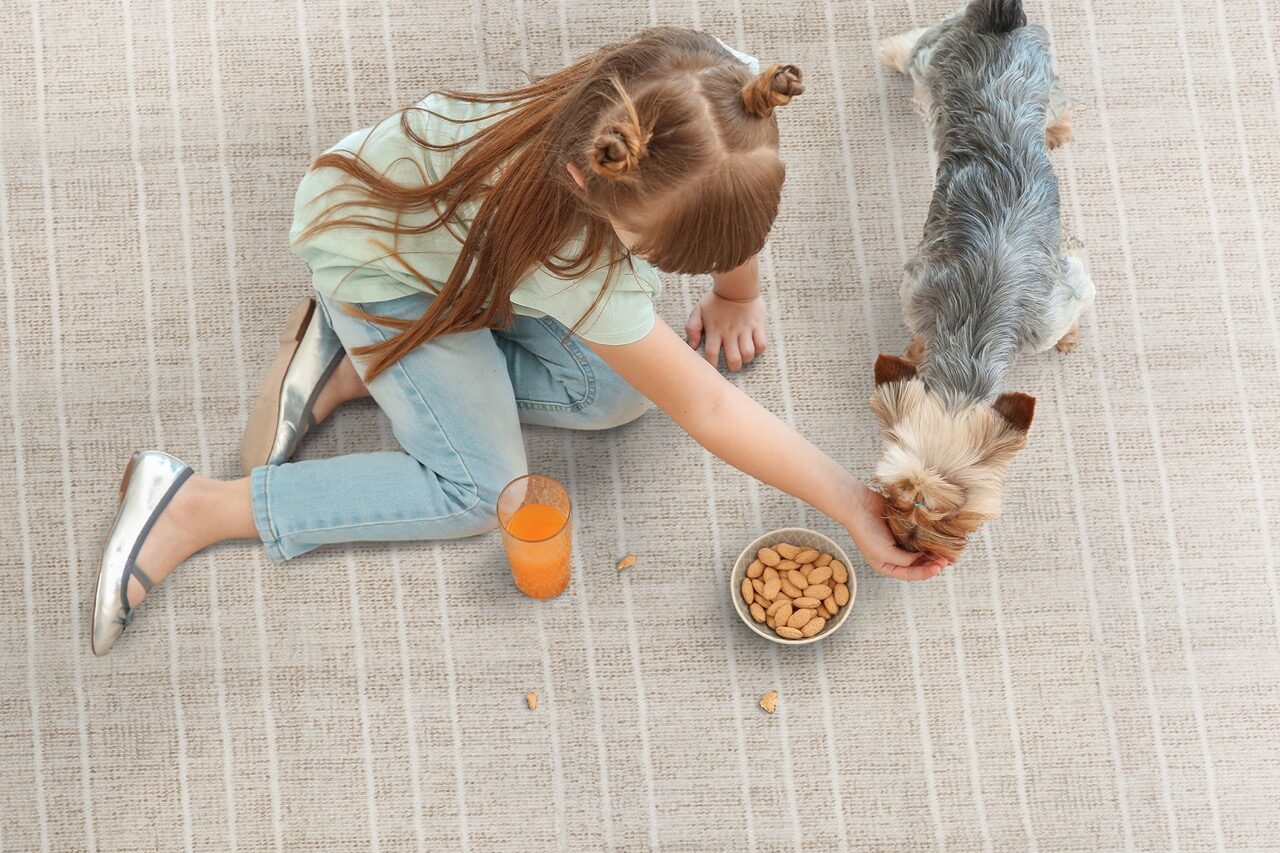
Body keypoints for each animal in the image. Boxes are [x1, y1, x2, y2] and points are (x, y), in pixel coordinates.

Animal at [865, 0, 1095, 560]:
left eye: (953, 513)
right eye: (897, 493)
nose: (906, 542)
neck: (972, 331)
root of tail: (999, 20)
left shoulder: (1057, 304)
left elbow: (1073, 298)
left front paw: (1072, 337)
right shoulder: (916, 290)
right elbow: (918, 335)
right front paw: (917, 352)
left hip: (1038, 70)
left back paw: (1055, 130)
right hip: (937, 61)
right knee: (914, 50)